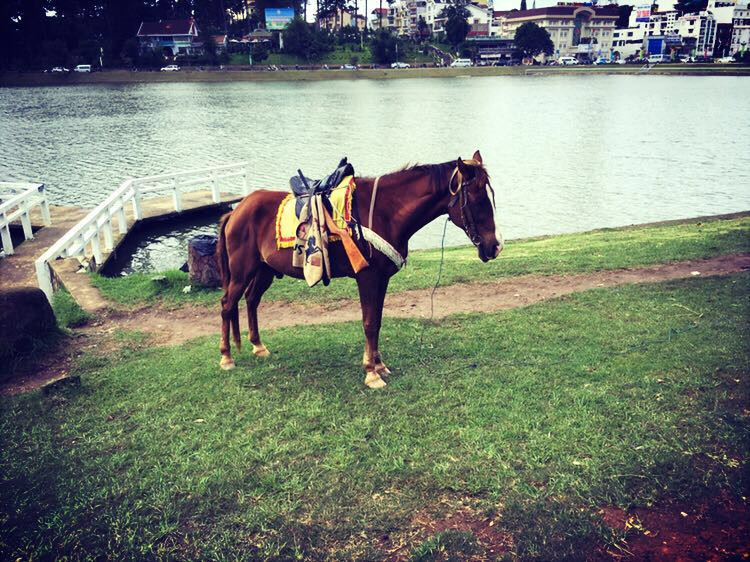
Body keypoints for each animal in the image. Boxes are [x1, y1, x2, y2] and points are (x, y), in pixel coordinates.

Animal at [219, 149, 506, 388]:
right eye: (479, 200)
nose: (496, 246)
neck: (385, 212)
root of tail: (236, 211)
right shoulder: (367, 277)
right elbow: (368, 322)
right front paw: (371, 373)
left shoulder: (382, 278)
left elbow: (376, 321)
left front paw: (379, 365)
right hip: (242, 272)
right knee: (227, 305)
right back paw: (226, 358)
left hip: (263, 271)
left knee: (251, 300)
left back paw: (258, 346)